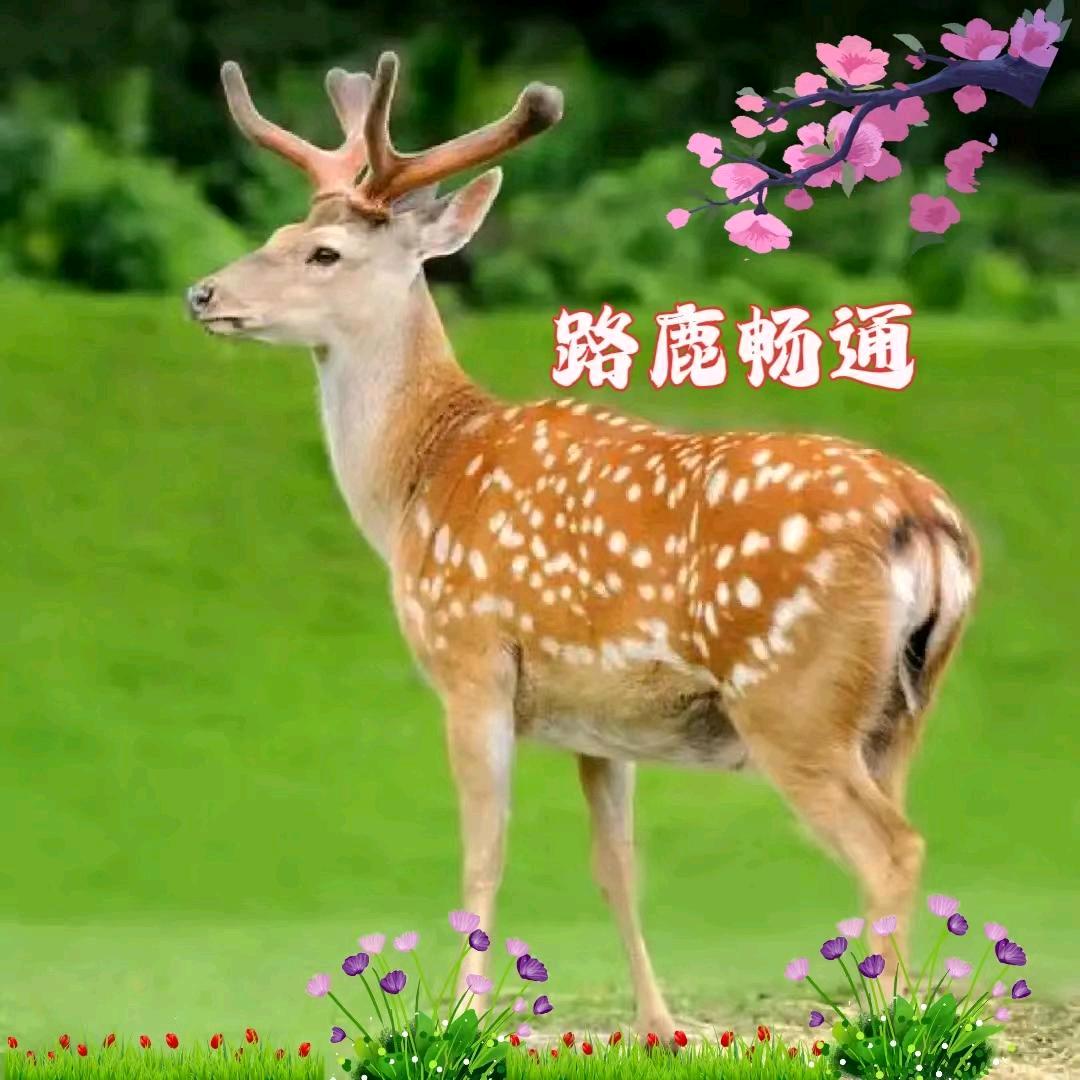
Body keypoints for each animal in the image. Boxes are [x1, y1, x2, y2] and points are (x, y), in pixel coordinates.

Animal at [187, 49, 980, 1036]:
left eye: (323, 253)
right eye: (282, 227)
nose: (203, 293)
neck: (419, 480)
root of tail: (928, 524)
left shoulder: (472, 655)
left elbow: (482, 853)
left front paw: (462, 1015)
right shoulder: (600, 717)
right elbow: (616, 867)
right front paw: (661, 1026)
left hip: (792, 695)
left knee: (891, 848)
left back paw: (881, 1028)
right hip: (901, 710)